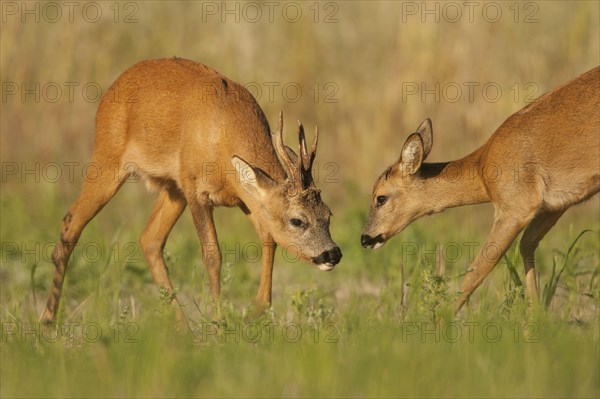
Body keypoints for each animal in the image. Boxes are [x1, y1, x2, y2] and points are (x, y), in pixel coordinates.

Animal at [41, 57, 342, 324]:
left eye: (329, 214)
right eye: (297, 220)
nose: (333, 254)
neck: (223, 135)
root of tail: (113, 87)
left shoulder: (243, 197)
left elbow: (269, 237)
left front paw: (257, 310)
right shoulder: (196, 189)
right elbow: (212, 255)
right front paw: (219, 323)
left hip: (172, 188)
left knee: (149, 240)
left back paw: (182, 326)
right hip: (108, 157)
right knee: (71, 223)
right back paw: (47, 320)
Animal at [360, 65, 600, 310]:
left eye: (380, 198)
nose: (365, 238)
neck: (482, 168)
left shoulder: (517, 206)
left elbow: (477, 269)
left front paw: (442, 317)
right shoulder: (553, 207)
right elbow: (527, 245)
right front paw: (537, 313)